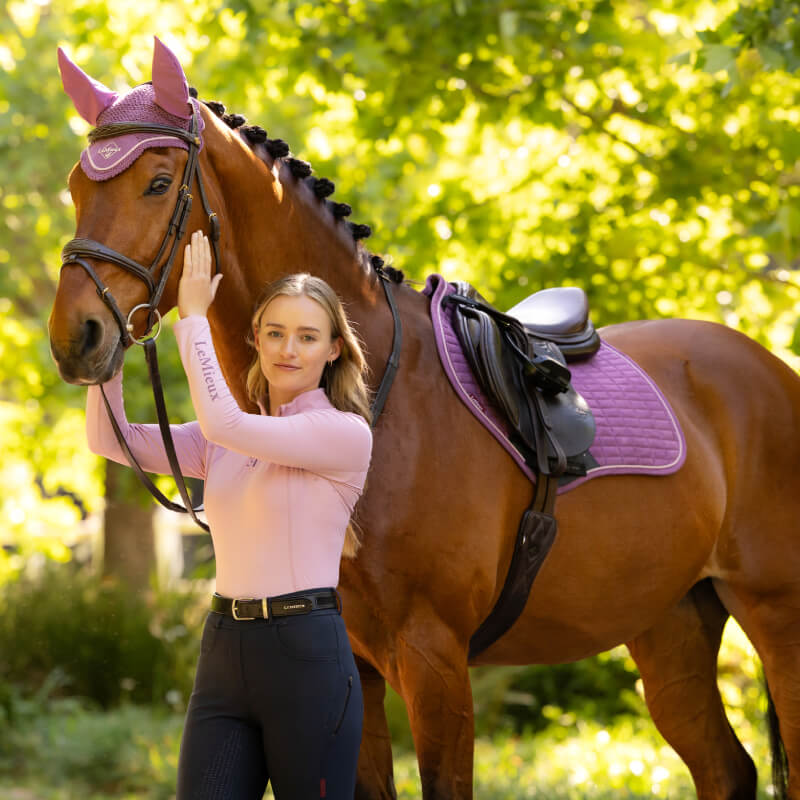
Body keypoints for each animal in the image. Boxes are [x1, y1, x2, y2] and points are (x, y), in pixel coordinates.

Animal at [48, 41, 800, 799]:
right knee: (727, 769)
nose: (76, 338)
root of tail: (770, 368)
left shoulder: (433, 656)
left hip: (775, 617)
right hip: (671, 620)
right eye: (78, 188)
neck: (375, 395)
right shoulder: (358, 665)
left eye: (158, 183)